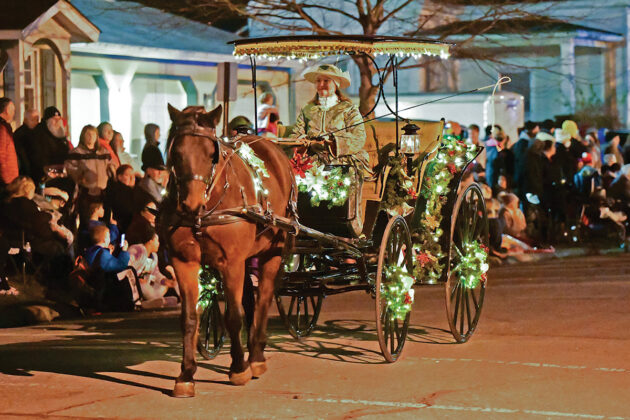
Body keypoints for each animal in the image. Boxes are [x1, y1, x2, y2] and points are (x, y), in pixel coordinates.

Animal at [158, 104, 296, 398]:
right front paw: (186, 374)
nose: (190, 204)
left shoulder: (231, 262)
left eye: (211, 154)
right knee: (251, 300)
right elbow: (190, 318)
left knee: (263, 298)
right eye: (177, 152)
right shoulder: (184, 262)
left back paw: (256, 357)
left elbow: (233, 316)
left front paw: (238, 368)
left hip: (272, 252)